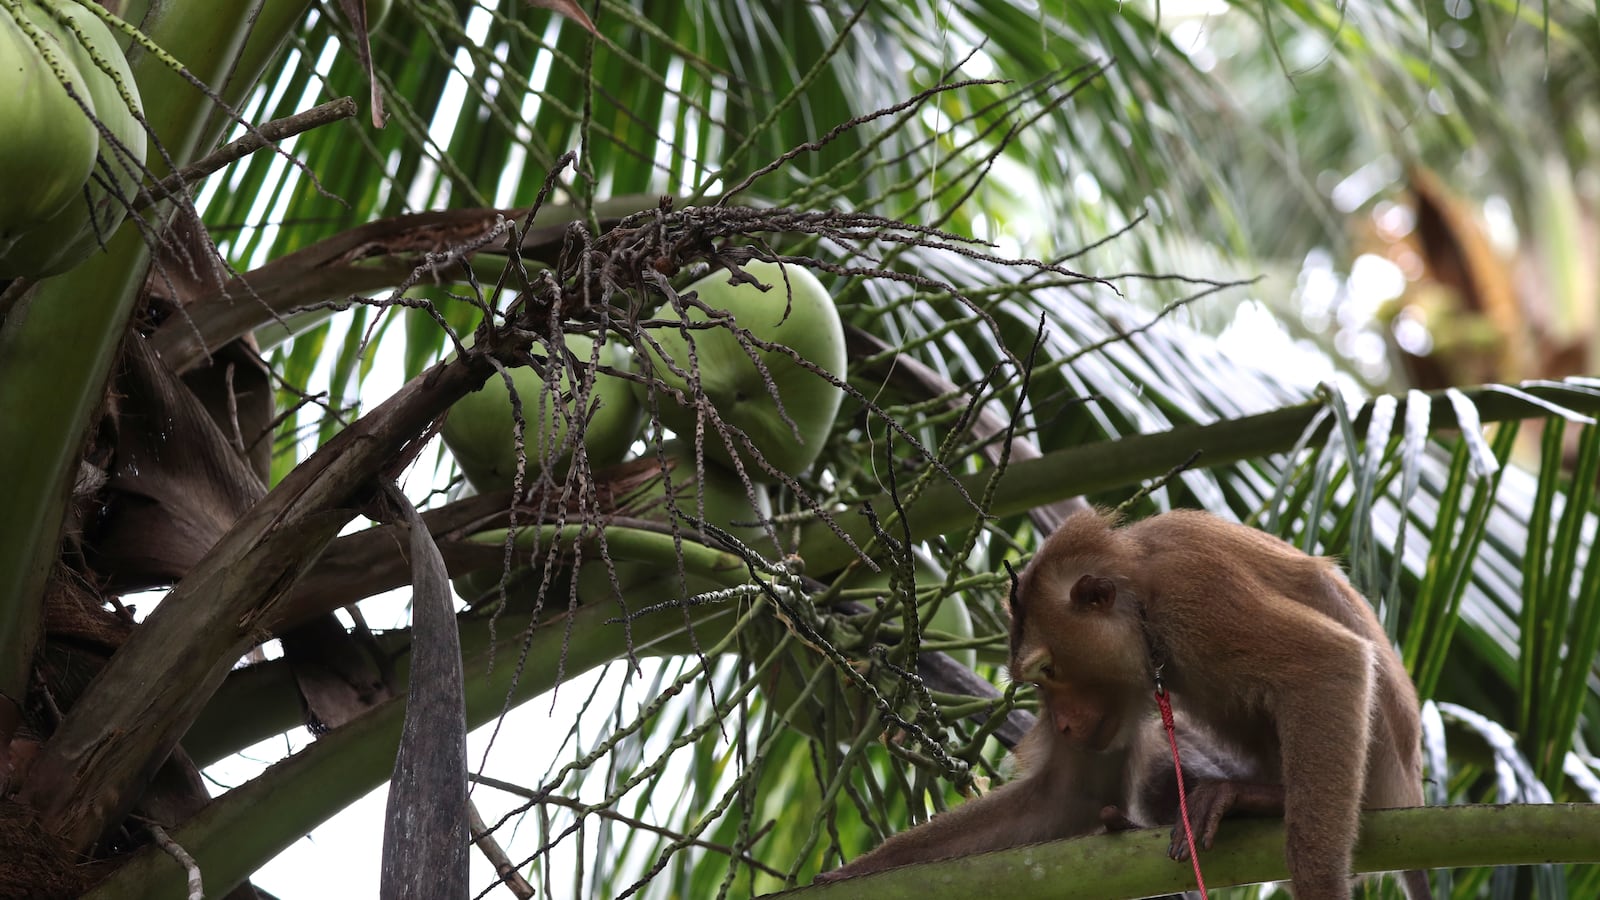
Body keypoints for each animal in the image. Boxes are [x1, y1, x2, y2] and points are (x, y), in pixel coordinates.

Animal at [1010, 508, 1427, 899]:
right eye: (1038, 680)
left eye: (1048, 669)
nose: (1062, 724)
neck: (1141, 587)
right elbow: (1068, 797)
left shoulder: (1195, 592)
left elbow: (1330, 662)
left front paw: (1320, 883)